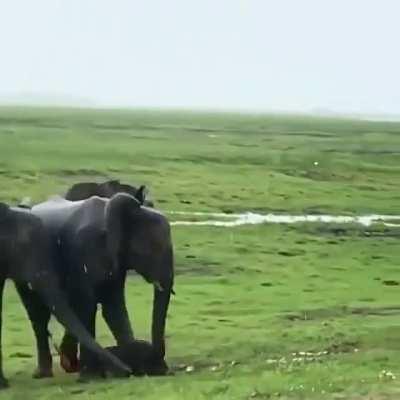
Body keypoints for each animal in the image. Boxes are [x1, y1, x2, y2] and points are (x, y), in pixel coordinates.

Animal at [31, 192, 173, 376]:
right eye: (153, 248)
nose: (162, 369)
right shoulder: (83, 250)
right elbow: (88, 307)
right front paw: (92, 375)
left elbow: (114, 307)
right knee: (38, 315)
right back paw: (45, 373)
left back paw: (69, 364)